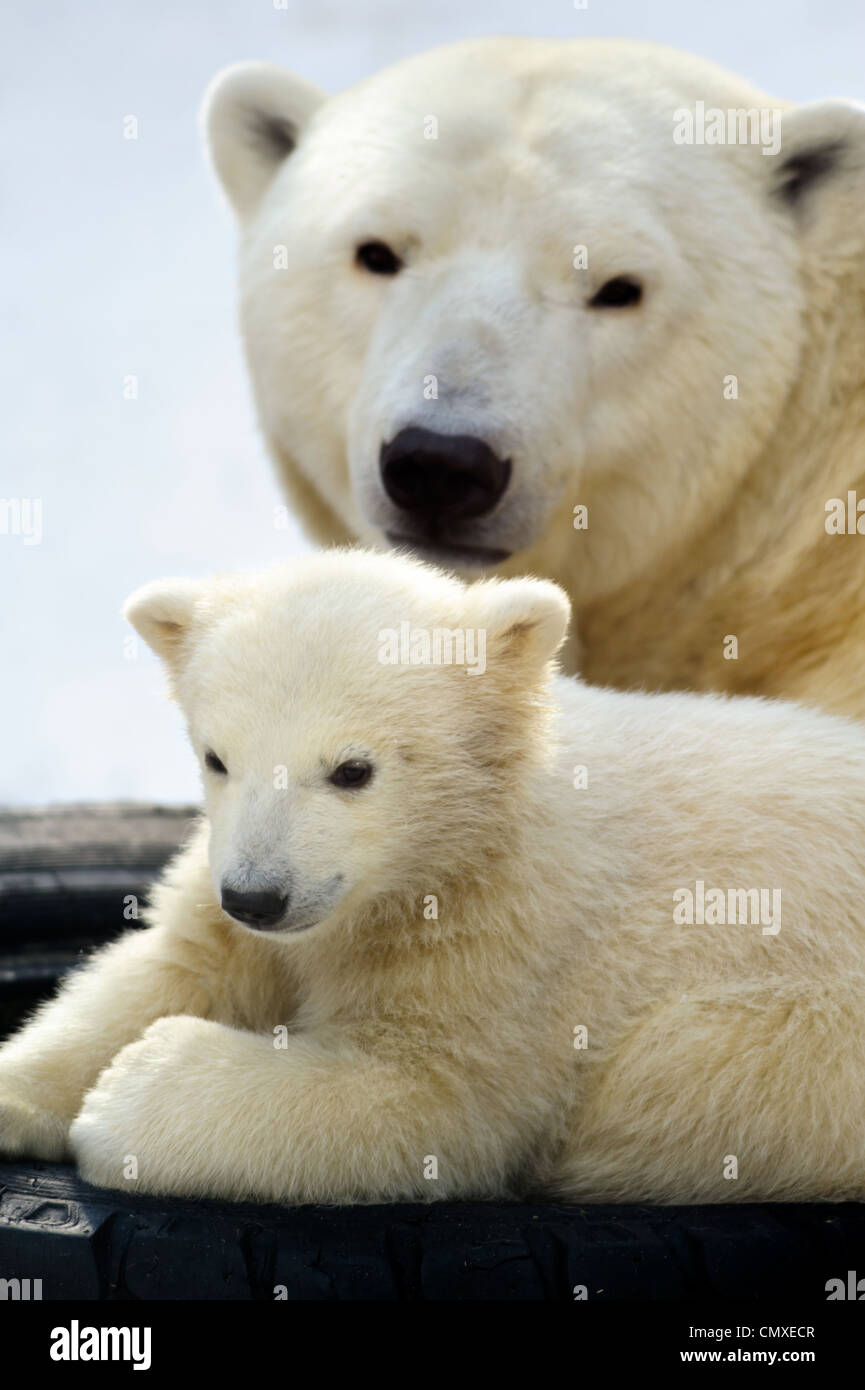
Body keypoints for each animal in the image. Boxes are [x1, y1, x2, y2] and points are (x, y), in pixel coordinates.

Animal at [1, 544, 865, 1206]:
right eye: (216, 757)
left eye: (353, 770)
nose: (257, 896)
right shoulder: (228, 872)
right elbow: (175, 966)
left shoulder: (515, 931)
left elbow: (431, 1097)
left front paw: (131, 1096)